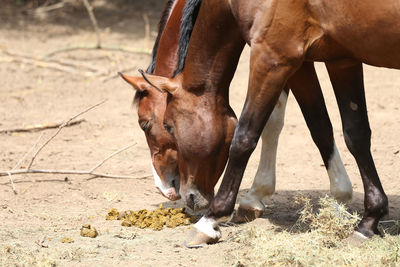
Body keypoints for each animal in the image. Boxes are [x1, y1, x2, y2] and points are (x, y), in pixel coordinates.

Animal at [126, 0, 396, 247]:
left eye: (151, 124)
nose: (173, 190)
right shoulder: (341, 58)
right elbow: (350, 132)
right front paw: (364, 217)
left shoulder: (275, 57)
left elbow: (249, 135)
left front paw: (211, 220)